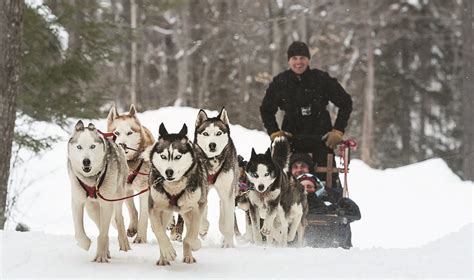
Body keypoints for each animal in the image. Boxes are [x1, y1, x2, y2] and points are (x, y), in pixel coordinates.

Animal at [66, 121, 130, 262]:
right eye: (79, 147)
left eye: (92, 146)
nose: (86, 161)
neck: (91, 181)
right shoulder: (77, 201)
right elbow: (79, 230)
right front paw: (85, 244)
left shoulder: (106, 203)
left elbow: (104, 233)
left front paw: (100, 256)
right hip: (92, 209)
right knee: (100, 223)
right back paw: (107, 250)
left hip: (118, 195)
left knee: (118, 218)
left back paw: (123, 242)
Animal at [106, 104, 155, 243]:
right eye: (116, 133)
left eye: (129, 133)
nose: (122, 145)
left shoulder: (144, 189)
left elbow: (144, 216)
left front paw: (141, 238)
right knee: (133, 210)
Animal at [148, 123, 207, 264]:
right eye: (163, 156)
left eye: (178, 156)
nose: (169, 172)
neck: (174, 187)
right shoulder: (153, 207)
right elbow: (159, 232)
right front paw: (168, 251)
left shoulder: (197, 207)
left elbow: (191, 234)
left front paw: (195, 244)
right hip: (165, 212)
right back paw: (163, 259)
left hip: (187, 210)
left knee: (190, 229)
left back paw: (189, 255)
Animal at [193, 107, 239, 247]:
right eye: (206, 134)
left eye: (218, 133)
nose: (212, 145)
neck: (212, 161)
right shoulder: (201, 188)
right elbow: (201, 213)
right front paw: (203, 228)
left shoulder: (227, 192)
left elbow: (228, 223)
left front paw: (228, 244)